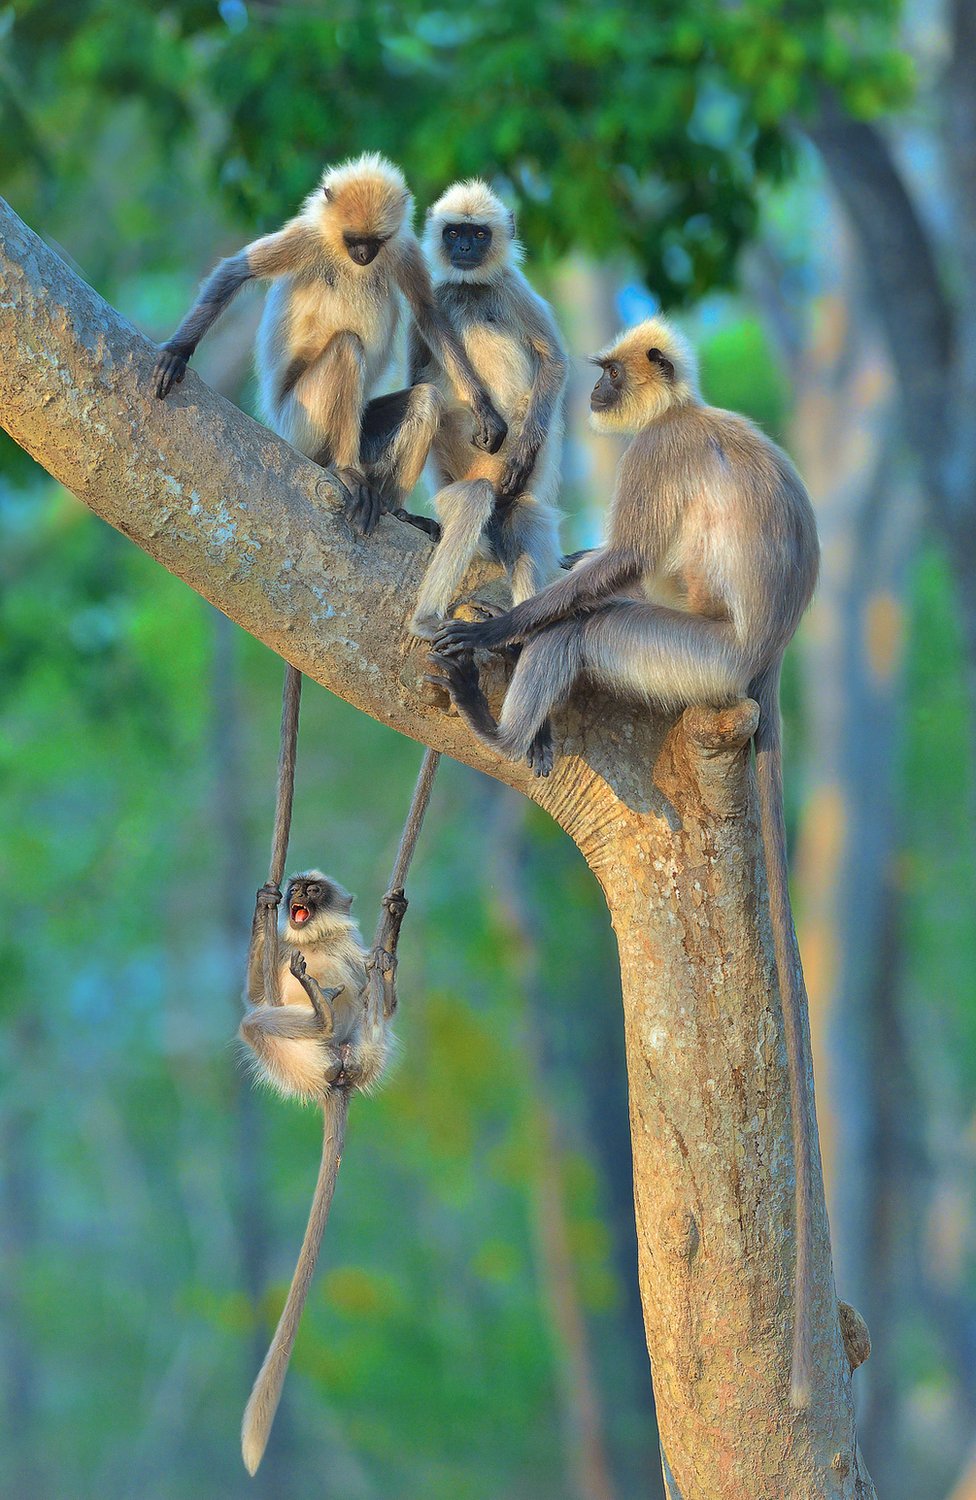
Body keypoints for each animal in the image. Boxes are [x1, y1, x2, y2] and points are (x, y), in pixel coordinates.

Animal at [153, 152, 506, 537]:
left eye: (375, 241)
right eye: (353, 240)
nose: (364, 254)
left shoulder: (402, 247)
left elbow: (429, 314)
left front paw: (484, 408)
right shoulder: (307, 236)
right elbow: (236, 271)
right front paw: (178, 351)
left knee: (426, 398)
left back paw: (395, 509)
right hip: (301, 422)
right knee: (348, 347)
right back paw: (347, 471)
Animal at [238, 876, 401, 1470]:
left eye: (314, 889)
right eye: (296, 890)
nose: (295, 897)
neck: (320, 942)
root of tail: (339, 1076)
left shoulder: (351, 955)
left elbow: (387, 998)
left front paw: (388, 948)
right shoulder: (283, 960)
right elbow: (257, 996)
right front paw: (263, 905)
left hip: (363, 1052)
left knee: (368, 1018)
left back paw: (336, 1010)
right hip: (298, 1063)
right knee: (258, 1021)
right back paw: (320, 1017)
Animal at [407, 181, 572, 639]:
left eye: (479, 235)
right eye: (454, 233)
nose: (464, 247)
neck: (472, 289)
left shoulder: (512, 287)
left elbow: (553, 361)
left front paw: (523, 450)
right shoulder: (435, 297)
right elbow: (416, 381)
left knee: (523, 517)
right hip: (457, 491)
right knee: (472, 499)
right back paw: (426, 619)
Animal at [431, 313, 821, 1404]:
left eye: (606, 373)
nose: (598, 394)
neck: (686, 410)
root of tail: (763, 664)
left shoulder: (657, 455)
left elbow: (623, 565)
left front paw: (504, 626)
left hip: (690, 660)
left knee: (599, 627)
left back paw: (505, 730)